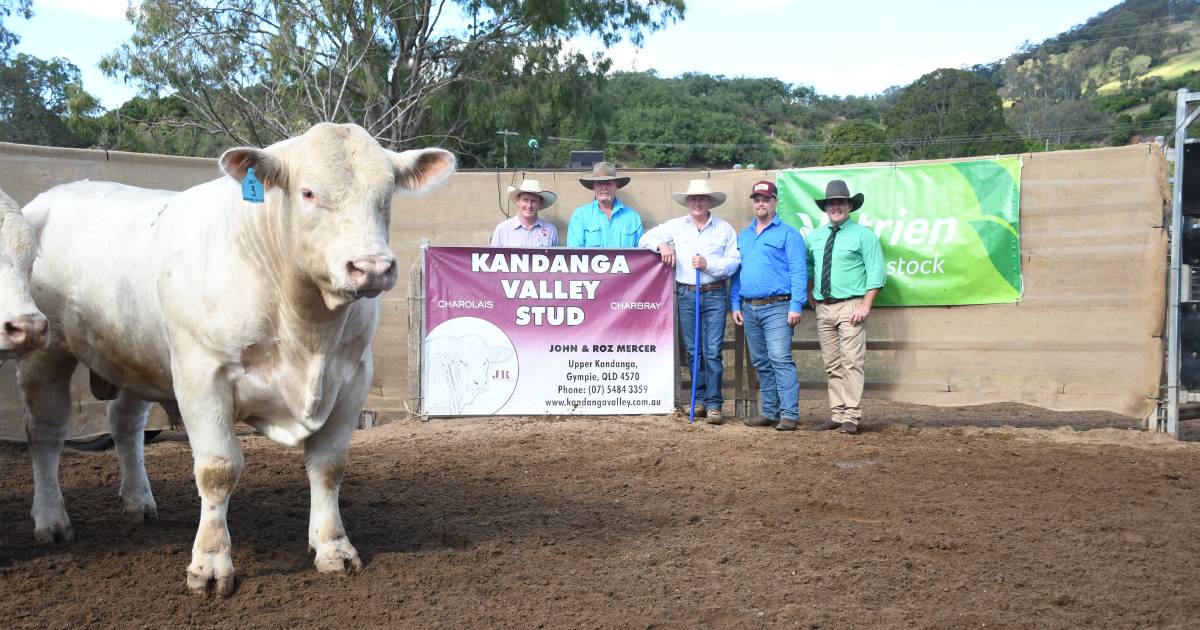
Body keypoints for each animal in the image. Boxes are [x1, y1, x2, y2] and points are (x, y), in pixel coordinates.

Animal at [16, 121, 456, 595]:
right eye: (308, 192)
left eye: (387, 192)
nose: (372, 268)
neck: (306, 329)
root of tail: (53, 195)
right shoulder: (201, 375)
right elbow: (218, 469)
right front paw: (210, 565)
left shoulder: (354, 376)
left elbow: (328, 466)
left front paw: (333, 546)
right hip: (46, 353)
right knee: (46, 433)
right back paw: (51, 520)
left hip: (137, 355)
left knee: (125, 425)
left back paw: (138, 502)